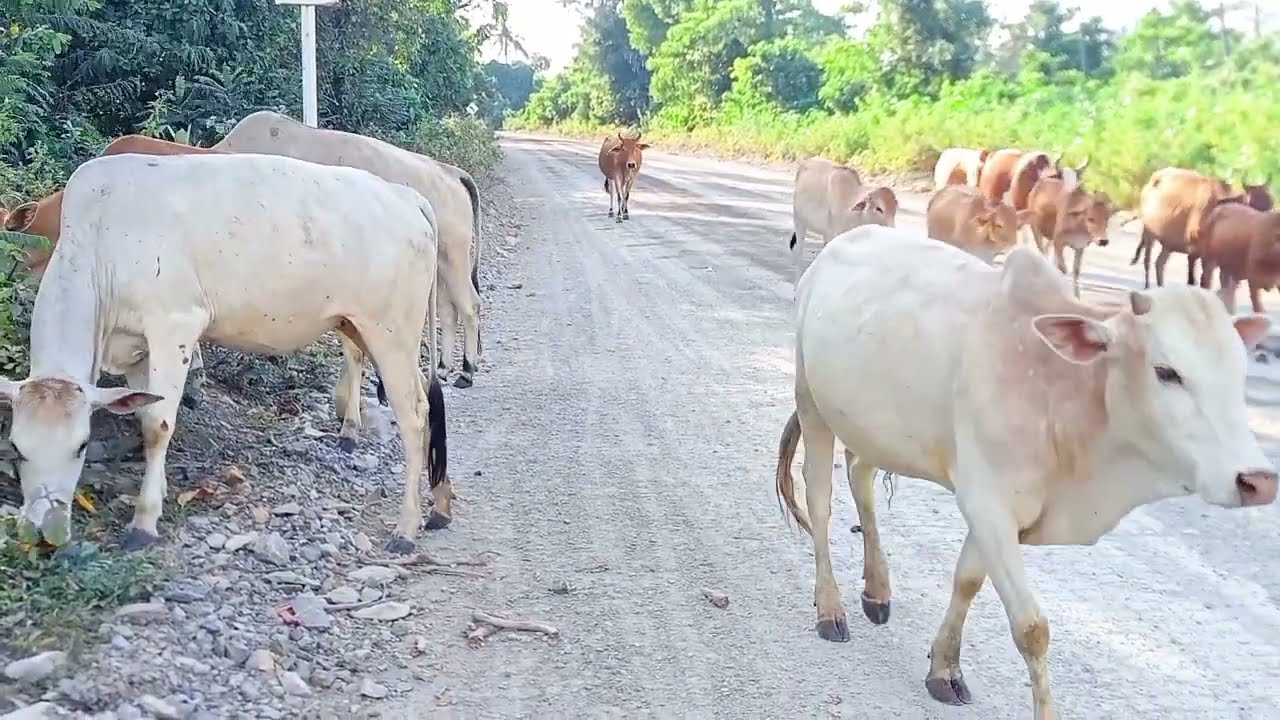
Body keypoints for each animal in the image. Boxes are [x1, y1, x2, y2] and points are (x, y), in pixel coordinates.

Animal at [214, 110, 484, 390]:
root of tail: (452, 172)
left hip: (454, 257)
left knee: (470, 305)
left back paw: (467, 370)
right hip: (439, 265)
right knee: (447, 310)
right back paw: (443, 367)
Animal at [775, 223, 1275, 719]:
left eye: (1239, 372)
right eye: (1166, 371)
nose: (1258, 480)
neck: (1063, 394)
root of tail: (839, 242)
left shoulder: (993, 512)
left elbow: (968, 581)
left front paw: (944, 668)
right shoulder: (989, 503)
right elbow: (1032, 627)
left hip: (873, 427)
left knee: (861, 477)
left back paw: (877, 591)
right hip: (811, 401)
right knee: (819, 500)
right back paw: (830, 608)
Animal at [1129, 168, 1275, 289]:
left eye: (1271, 204)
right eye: (1251, 203)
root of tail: (1152, 180)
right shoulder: (1197, 252)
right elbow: (1198, 281)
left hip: (1168, 244)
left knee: (1159, 263)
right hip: (1149, 234)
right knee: (1147, 260)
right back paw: (1148, 287)